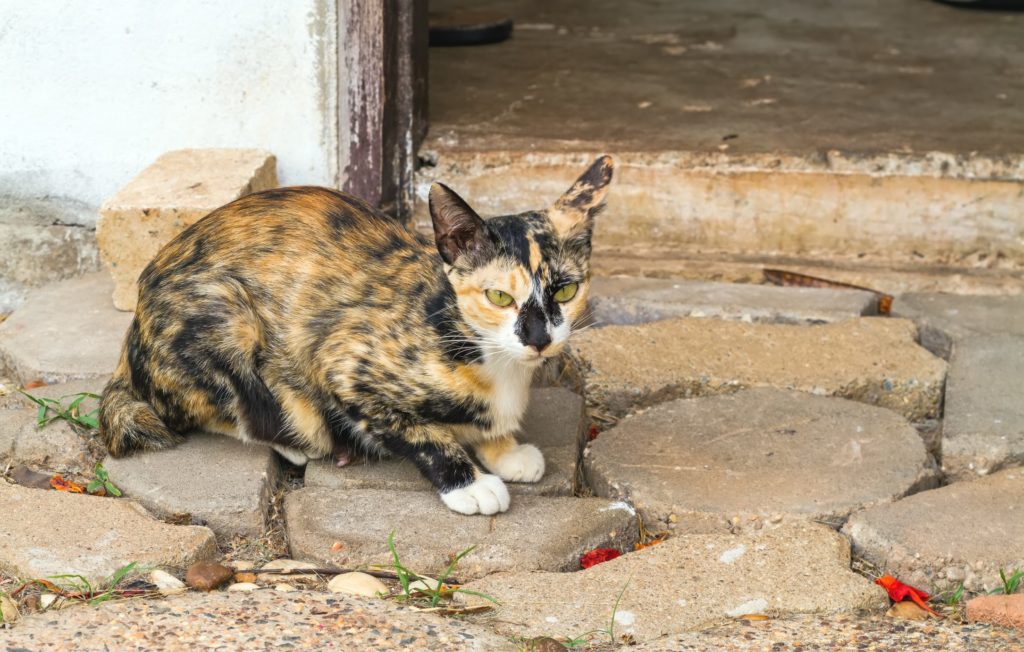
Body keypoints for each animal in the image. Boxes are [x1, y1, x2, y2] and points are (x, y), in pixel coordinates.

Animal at [99, 155, 610, 511]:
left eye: (566, 290)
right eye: (499, 297)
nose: (539, 339)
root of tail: (129, 341)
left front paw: (505, 451)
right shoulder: (343, 364)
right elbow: (419, 433)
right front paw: (470, 482)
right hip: (227, 314)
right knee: (216, 411)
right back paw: (297, 442)